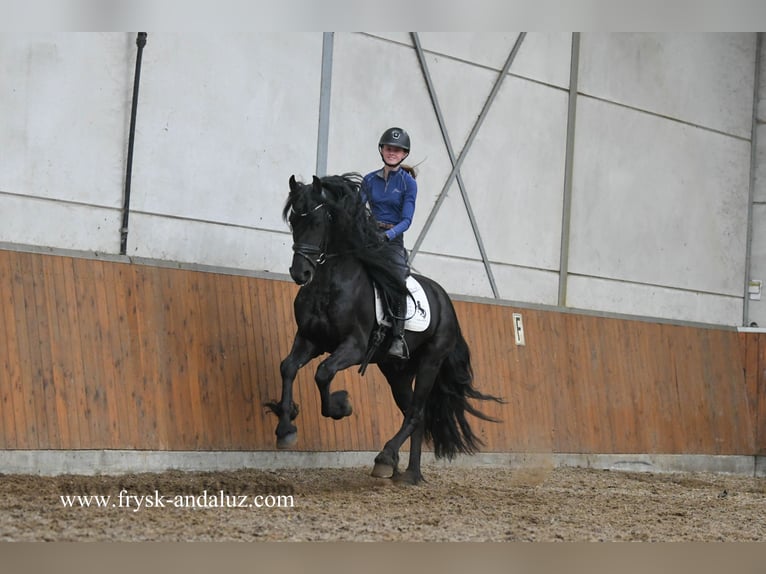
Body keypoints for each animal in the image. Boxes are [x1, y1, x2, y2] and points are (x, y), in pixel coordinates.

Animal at [266, 173, 504, 484]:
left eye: (318, 222)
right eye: (294, 220)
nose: (300, 273)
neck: (329, 283)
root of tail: (445, 300)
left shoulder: (353, 347)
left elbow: (323, 373)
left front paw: (341, 406)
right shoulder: (309, 339)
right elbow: (288, 368)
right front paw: (286, 428)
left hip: (430, 362)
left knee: (415, 413)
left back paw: (386, 458)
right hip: (396, 370)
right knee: (416, 415)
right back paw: (408, 473)